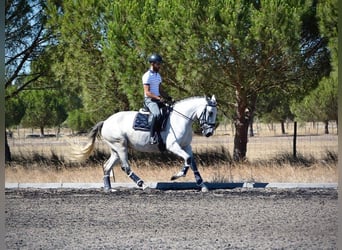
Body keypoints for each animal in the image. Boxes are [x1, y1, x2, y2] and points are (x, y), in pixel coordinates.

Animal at [76, 95, 218, 191]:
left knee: (106, 166)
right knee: (125, 166)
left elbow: (192, 162)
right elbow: (187, 159)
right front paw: (176, 176)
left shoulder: (186, 146)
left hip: (115, 149)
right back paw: (143, 184)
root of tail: (105, 121)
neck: (181, 119)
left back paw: (108, 188)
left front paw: (202, 185)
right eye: (210, 112)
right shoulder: (173, 146)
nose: (209, 133)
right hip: (120, 146)